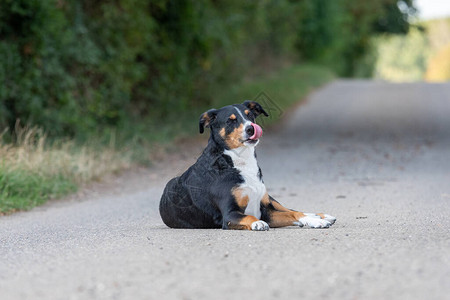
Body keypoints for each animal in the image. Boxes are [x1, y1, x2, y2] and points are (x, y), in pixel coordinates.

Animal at [160, 101, 336, 230]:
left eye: (249, 115)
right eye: (231, 120)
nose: (251, 128)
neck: (239, 161)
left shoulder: (265, 210)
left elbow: (293, 214)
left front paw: (314, 220)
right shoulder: (229, 215)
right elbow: (250, 216)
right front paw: (256, 223)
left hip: (269, 199)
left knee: (291, 209)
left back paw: (319, 216)